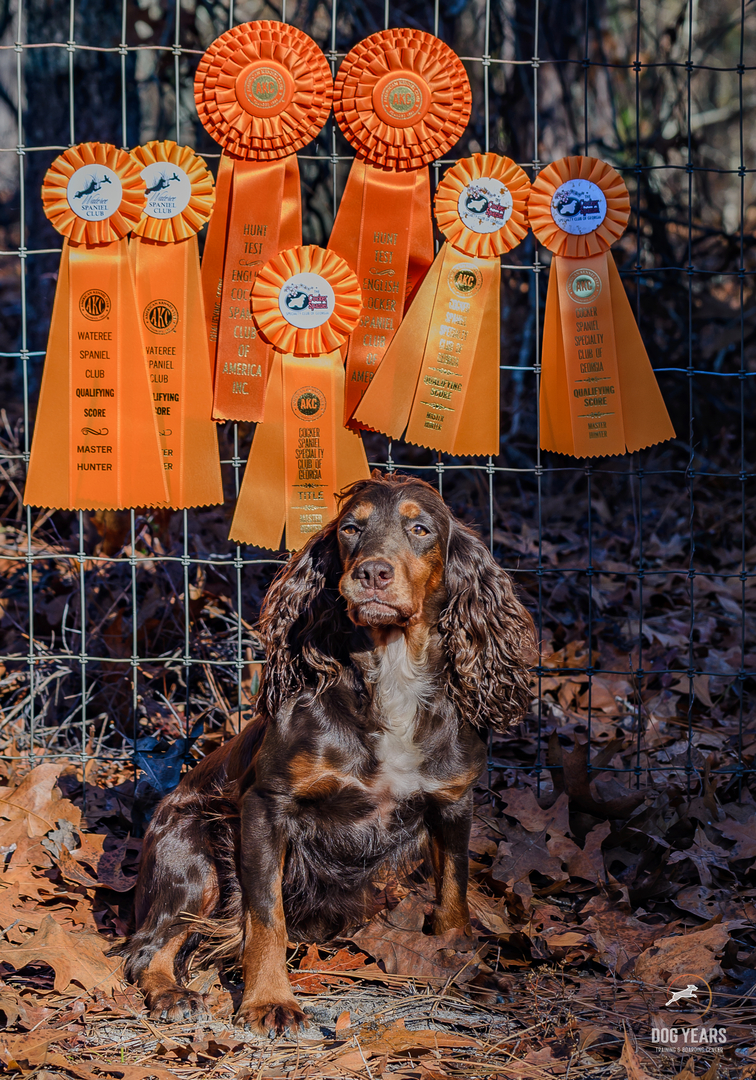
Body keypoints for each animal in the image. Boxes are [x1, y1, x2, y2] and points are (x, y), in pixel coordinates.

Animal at [120, 477, 533, 1032]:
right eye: (351, 529)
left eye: (420, 528)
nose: (373, 573)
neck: (391, 677)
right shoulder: (266, 806)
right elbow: (266, 916)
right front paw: (269, 1001)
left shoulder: (453, 804)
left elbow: (453, 899)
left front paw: (463, 969)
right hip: (194, 848)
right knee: (150, 944)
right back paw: (170, 993)